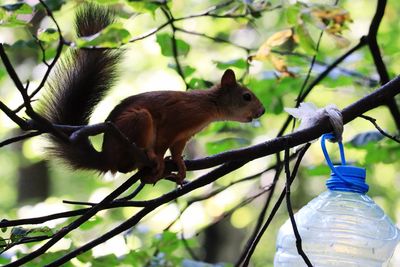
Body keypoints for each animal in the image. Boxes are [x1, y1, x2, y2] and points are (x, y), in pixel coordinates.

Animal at [41, 3, 266, 184]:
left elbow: (177, 151)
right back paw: (150, 159)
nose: (262, 111)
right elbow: (163, 142)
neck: (209, 105)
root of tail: (106, 158)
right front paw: (160, 158)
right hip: (137, 121)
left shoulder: (183, 136)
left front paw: (180, 166)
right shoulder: (176, 121)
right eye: (247, 96)